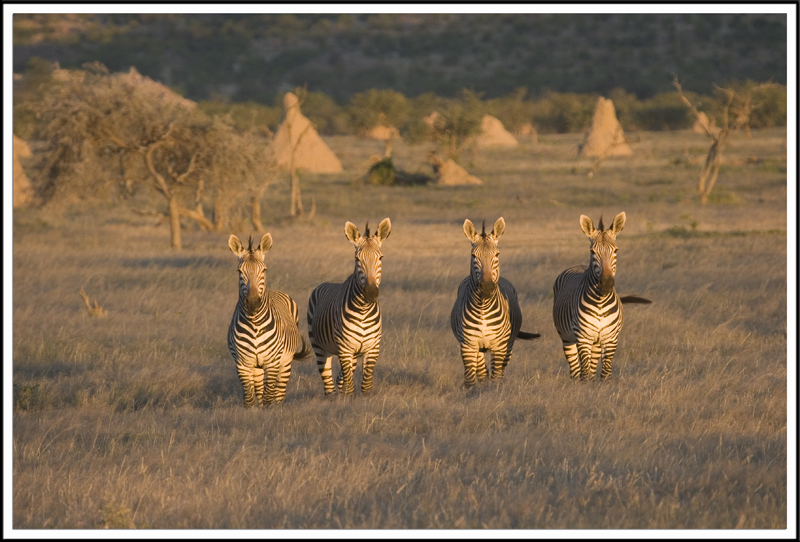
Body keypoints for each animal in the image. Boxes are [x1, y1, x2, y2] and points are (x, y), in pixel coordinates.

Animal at [228, 234, 312, 408]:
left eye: (264, 270)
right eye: (239, 271)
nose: (253, 303)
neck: (254, 324)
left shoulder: (272, 362)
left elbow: (268, 397)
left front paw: (269, 413)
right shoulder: (242, 363)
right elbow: (250, 398)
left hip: (284, 362)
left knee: (279, 391)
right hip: (257, 367)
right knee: (260, 389)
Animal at [308, 219, 392, 398]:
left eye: (381, 257)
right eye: (357, 259)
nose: (371, 293)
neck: (364, 310)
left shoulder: (373, 348)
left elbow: (365, 385)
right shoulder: (345, 348)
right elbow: (349, 388)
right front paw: (348, 402)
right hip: (319, 346)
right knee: (328, 382)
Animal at [450, 218, 544, 392]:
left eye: (497, 255)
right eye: (473, 256)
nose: (487, 287)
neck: (483, 307)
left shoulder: (500, 346)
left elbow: (496, 378)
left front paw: (494, 394)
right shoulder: (468, 345)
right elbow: (470, 380)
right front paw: (472, 394)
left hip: (509, 345)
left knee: (499, 372)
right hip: (478, 349)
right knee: (482, 371)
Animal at [556, 212, 648, 382]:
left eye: (616, 250)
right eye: (592, 252)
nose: (606, 283)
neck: (600, 301)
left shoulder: (610, 339)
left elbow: (605, 373)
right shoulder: (583, 338)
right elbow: (585, 374)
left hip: (597, 342)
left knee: (591, 367)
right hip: (567, 339)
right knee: (575, 370)